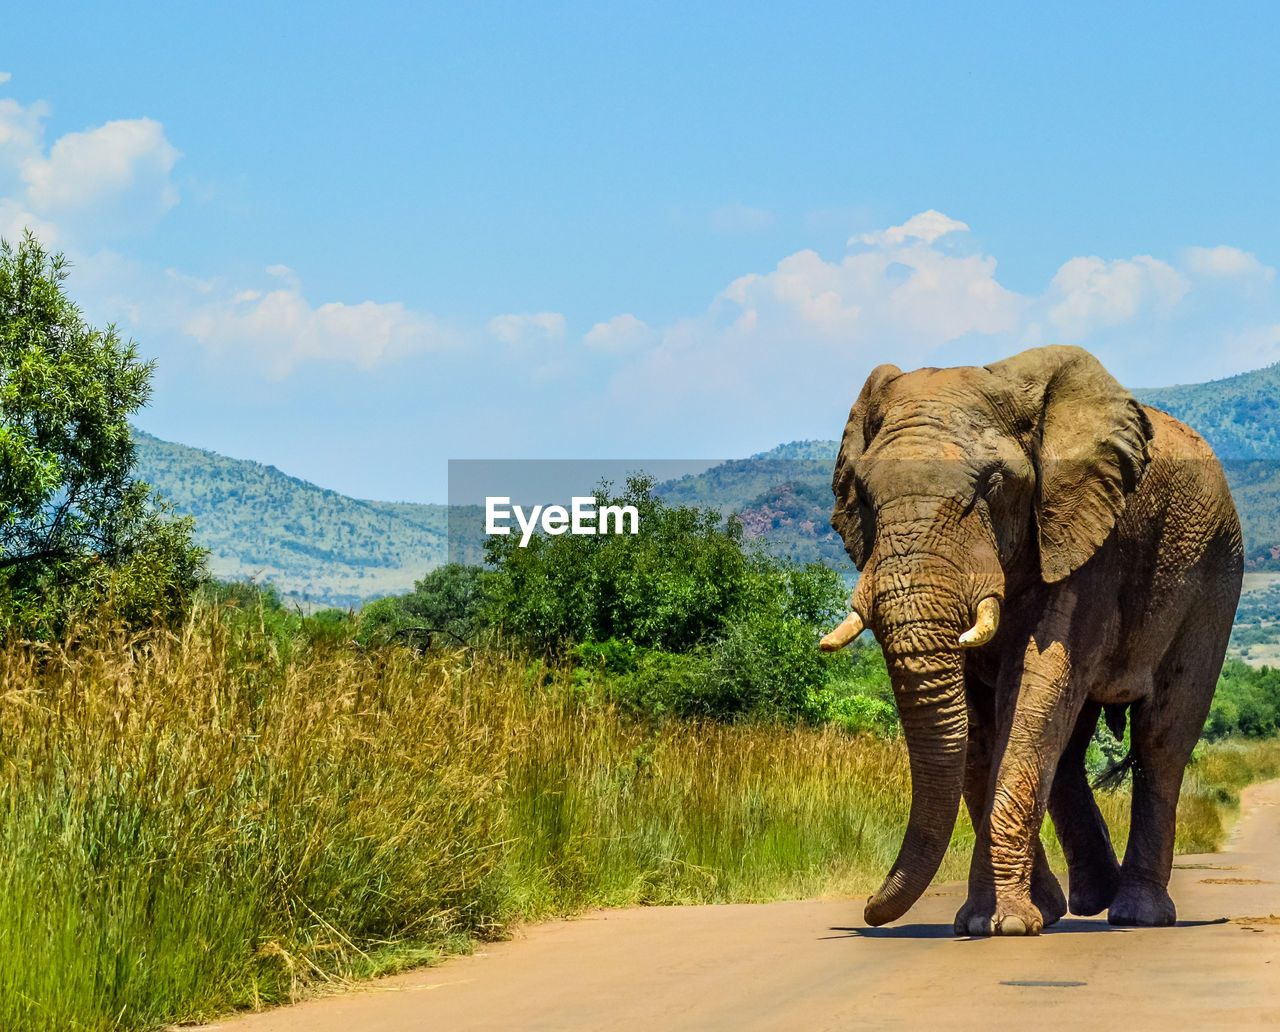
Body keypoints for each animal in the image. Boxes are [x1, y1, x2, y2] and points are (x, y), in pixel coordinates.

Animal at [814, 343, 1244, 932]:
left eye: (993, 486)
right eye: (861, 493)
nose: (868, 912)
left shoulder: (1087, 540)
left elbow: (1034, 689)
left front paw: (1006, 925)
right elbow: (981, 724)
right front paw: (989, 921)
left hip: (1216, 574)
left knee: (1162, 738)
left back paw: (1136, 915)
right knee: (1068, 749)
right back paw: (1084, 904)